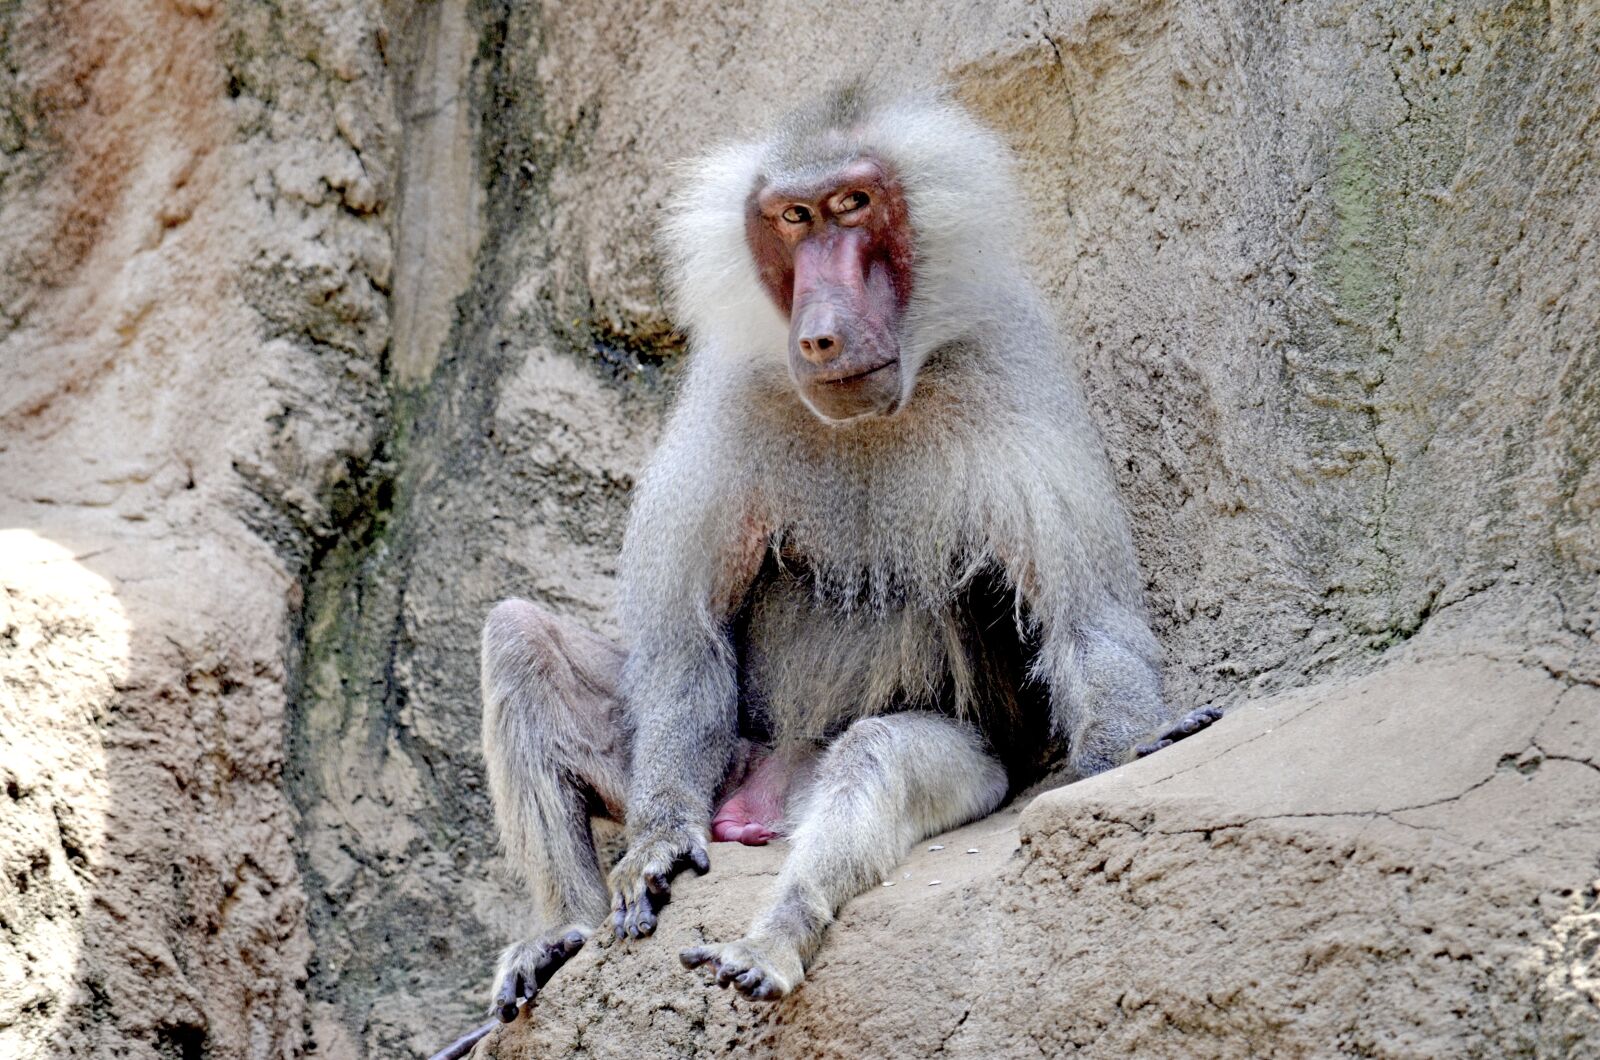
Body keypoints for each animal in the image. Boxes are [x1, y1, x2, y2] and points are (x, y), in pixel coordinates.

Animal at [474, 84, 1221, 1024]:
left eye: (853, 205)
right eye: (793, 218)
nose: (821, 336)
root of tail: (763, 802)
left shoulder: (1010, 373)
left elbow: (1089, 623)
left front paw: (1129, 747)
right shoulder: (732, 393)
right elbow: (684, 649)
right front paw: (658, 840)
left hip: (948, 774)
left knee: (874, 758)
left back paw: (771, 940)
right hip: (725, 752)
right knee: (518, 637)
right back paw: (561, 930)